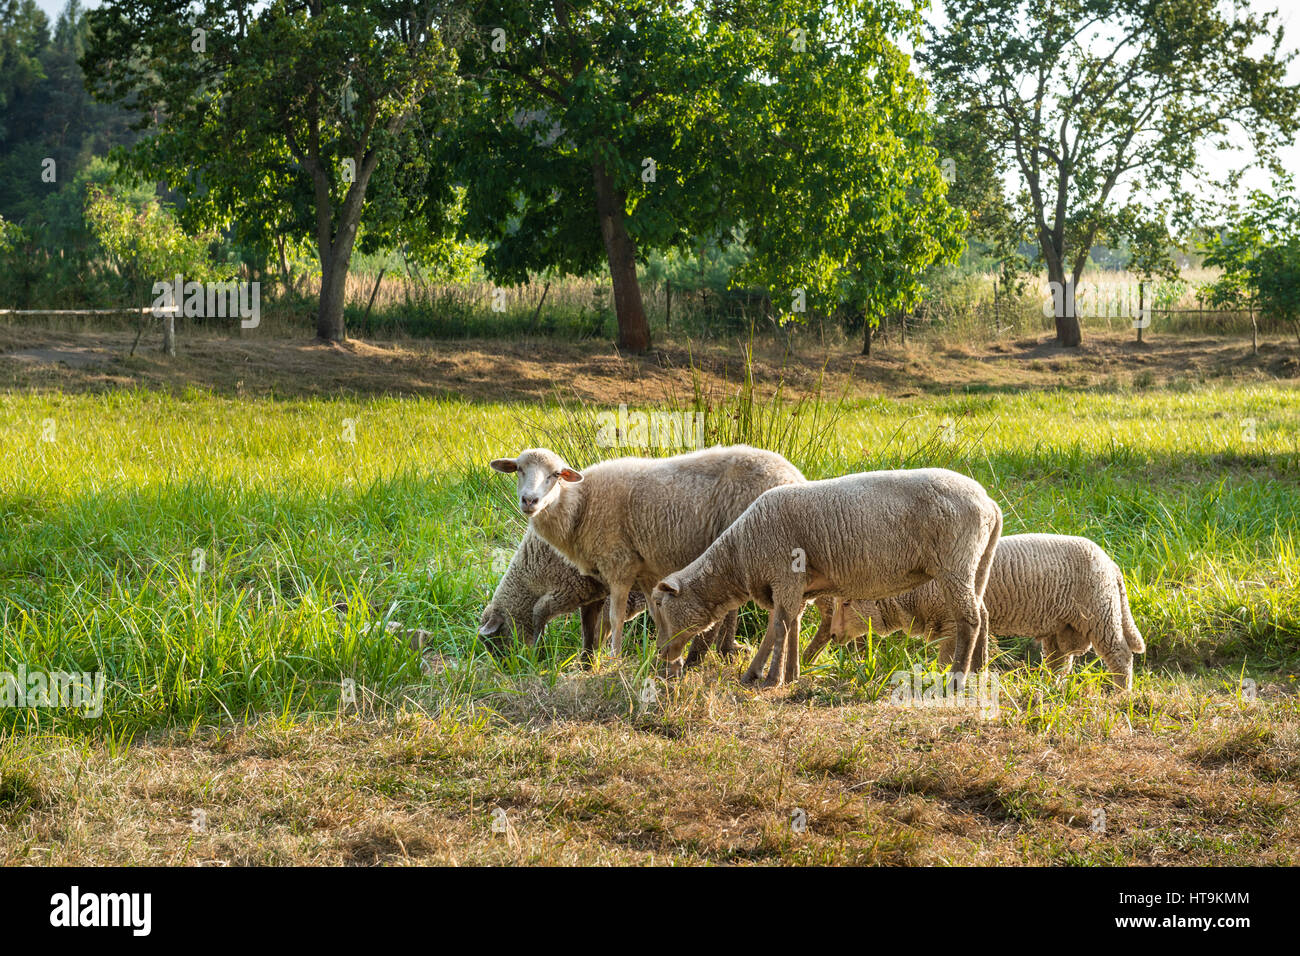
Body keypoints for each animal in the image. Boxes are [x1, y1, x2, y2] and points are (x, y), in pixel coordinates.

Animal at [478, 527, 739, 662]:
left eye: (495, 641)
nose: (507, 668)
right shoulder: (590, 591)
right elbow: (590, 627)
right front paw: (588, 660)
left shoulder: (569, 588)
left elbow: (541, 613)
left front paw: (539, 655)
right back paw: (727, 651)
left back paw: (698, 657)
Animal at [651, 468, 1002, 688]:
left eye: (659, 606)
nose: (661, 657)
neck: (738, 556)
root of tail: (990, 504)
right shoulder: (798, 587)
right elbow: (789, 625)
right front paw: (787, 674)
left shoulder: (785, 575)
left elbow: (778, 627)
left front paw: (769, 678)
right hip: (977, 562)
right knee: (983, 614)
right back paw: (980, 672)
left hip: (954, 563)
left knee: (969, 619)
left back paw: (957, 677)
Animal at [806, 533, 1145, 690]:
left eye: (847, 603)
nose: (832, 635)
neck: (912, 594)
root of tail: (1111, 564)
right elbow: (978, 652)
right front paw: (977, 676)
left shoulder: (952, 622)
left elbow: (949, 657)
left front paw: (943, 677)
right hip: (1062, 627)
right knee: (1060, 662)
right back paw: (1048, 687)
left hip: (1100, 611)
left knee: (1119, 653)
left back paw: (1121, 692)